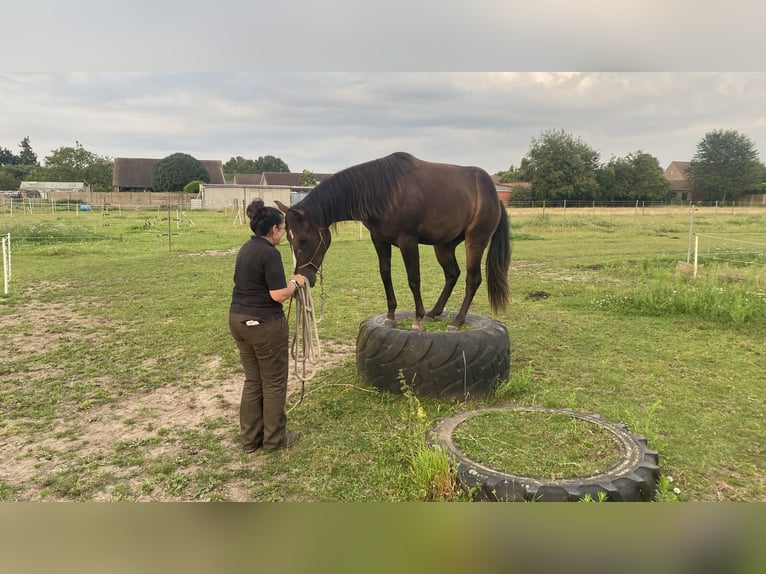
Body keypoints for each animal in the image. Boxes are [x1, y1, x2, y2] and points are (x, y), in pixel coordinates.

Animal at [274, 152, 510, 332]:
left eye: (304, 239)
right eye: (288, 238)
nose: (301, 279)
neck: (384, 191)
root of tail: (493, 194)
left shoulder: (408, 242)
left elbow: (413, 279)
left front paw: (417, 319)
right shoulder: (379, 240)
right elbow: (385, 274)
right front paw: (390, 316)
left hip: (475, 242)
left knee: (473, 279)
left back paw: (457, 321)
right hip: (444, 245)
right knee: (452, 275)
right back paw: (434, 312)